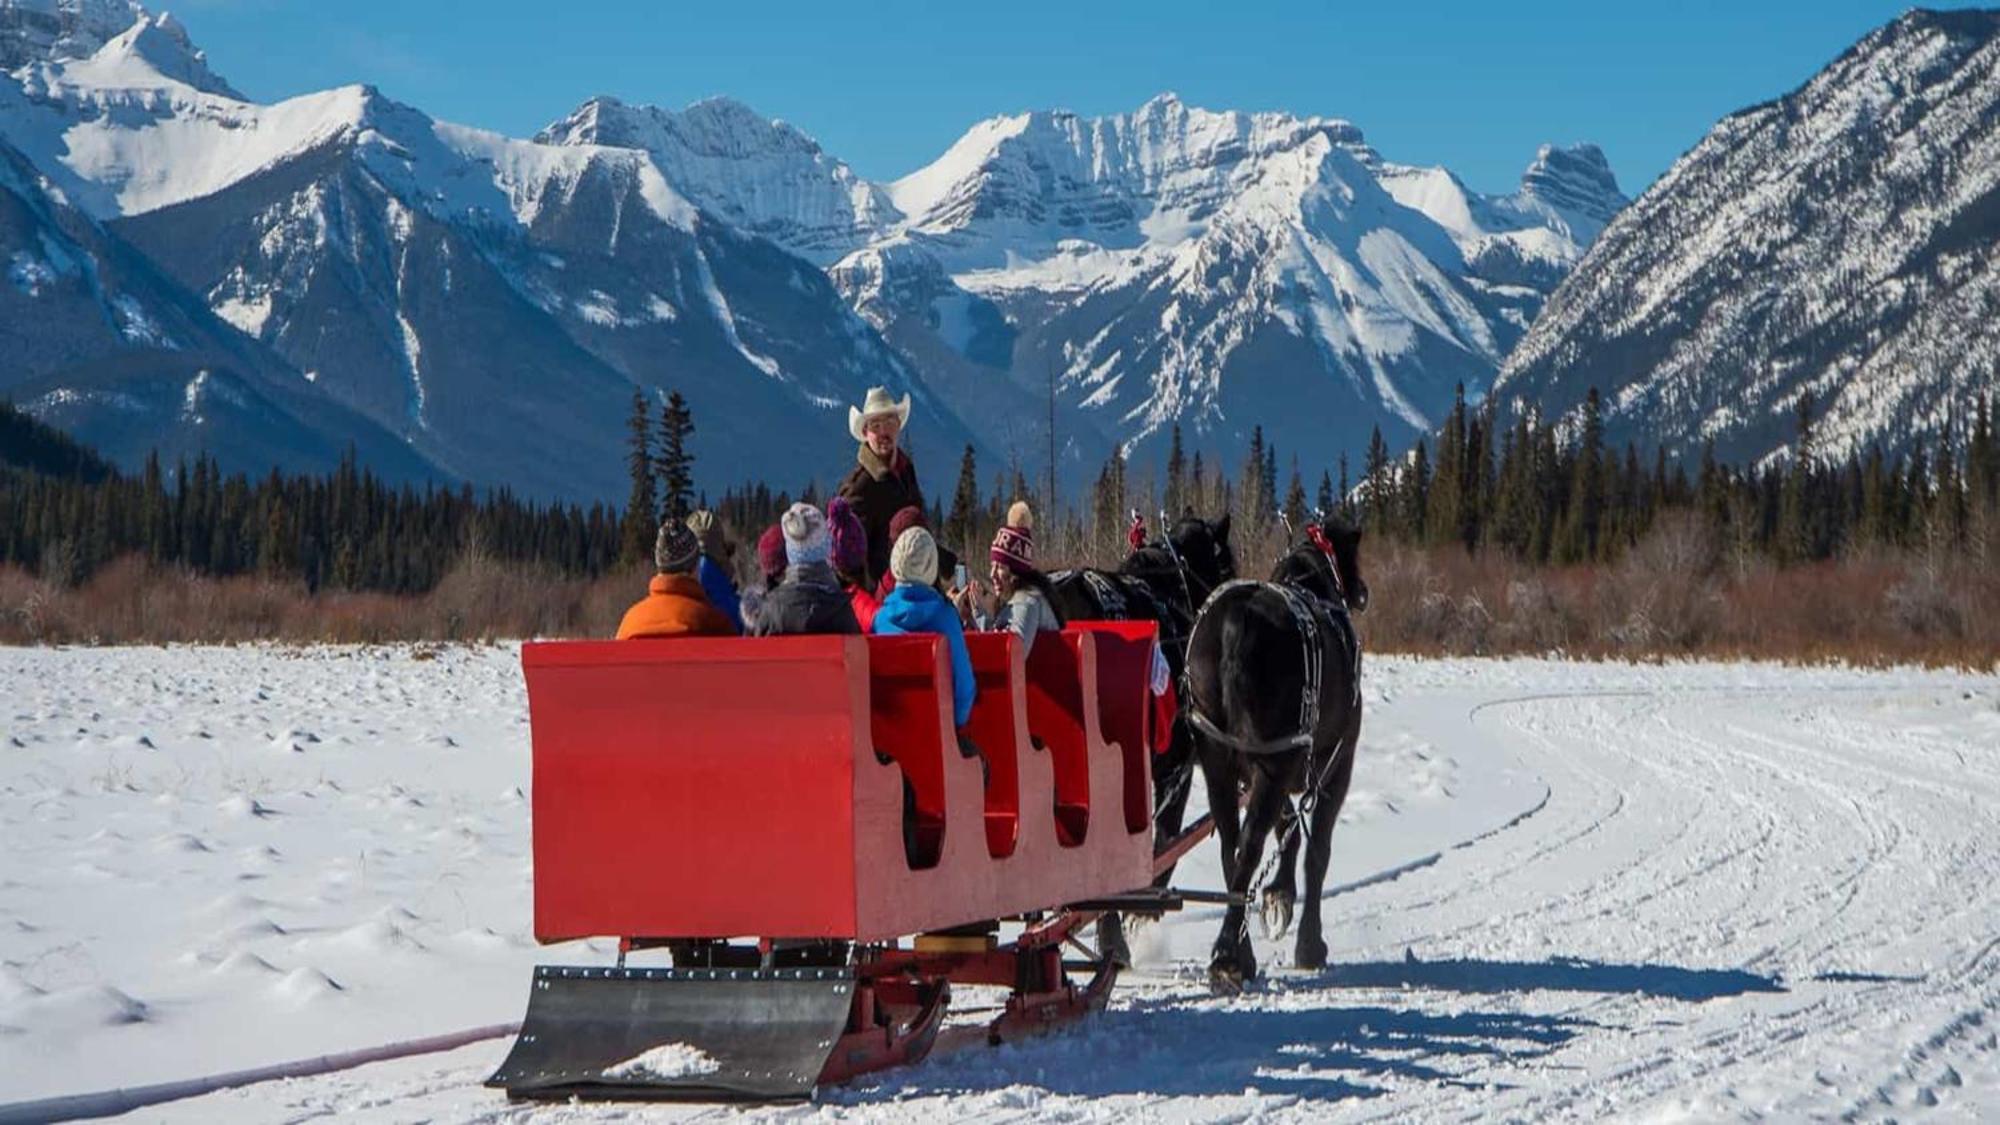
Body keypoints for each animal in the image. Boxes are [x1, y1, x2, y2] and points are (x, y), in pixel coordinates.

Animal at [1176, 512, 1368, 984]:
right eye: (1352, 554)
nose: (1362, 591)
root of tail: (1233, 625)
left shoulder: (1280, 768)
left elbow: (1288, 831)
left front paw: (1278, 895)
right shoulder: (1335, 765)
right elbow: (1316, 851)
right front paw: (1310, 943)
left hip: (1222, 761)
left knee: (1232, 845)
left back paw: (1237, 951)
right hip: (1275, 760)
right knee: (1249, 846)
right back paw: (1229, 956)